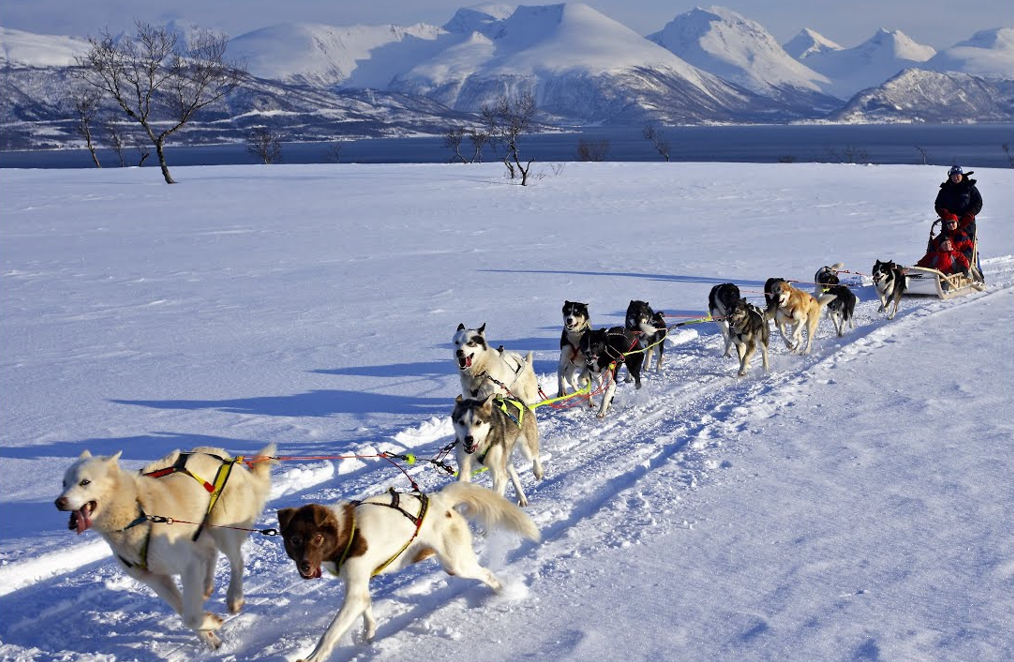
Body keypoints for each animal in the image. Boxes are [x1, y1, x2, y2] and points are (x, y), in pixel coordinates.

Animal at [53, 442, 275, 648]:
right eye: (63, 483)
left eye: (85, 482)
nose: (59, 502)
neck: (137, 513)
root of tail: (227, 458)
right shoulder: (155, 579)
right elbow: (185, 612)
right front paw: (208, 633)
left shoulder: (188, 565)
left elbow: (190, 616)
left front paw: (210, 623)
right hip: (200, 533)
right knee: (210, 554)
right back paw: (206, 587)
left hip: (222, 530)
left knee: (236, 561)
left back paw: (234, 598)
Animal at [279, 480, 539, 660]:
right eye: (294, 540)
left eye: (318, 538)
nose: (305, 566)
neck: (345, 531)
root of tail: (440, 500)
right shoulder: (357, 588)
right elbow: (367, 610)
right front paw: (368, 637)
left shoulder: (354, 592)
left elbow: (330, 633)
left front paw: (314, 656)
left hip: (456, 564)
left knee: (487, 574)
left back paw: (502, 592)